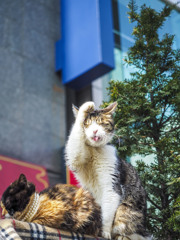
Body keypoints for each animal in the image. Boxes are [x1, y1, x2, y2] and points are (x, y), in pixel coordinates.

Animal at [65, 101, 151, 240]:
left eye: (101, 122)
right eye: (87, 124)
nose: (94, 130)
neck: (94, 150)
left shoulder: (111, 183)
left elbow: (107, 212)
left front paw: (104, 232)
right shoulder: (75, 159)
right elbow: (74, 145)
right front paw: (86, 107)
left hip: (126, 210)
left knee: (130, 231)